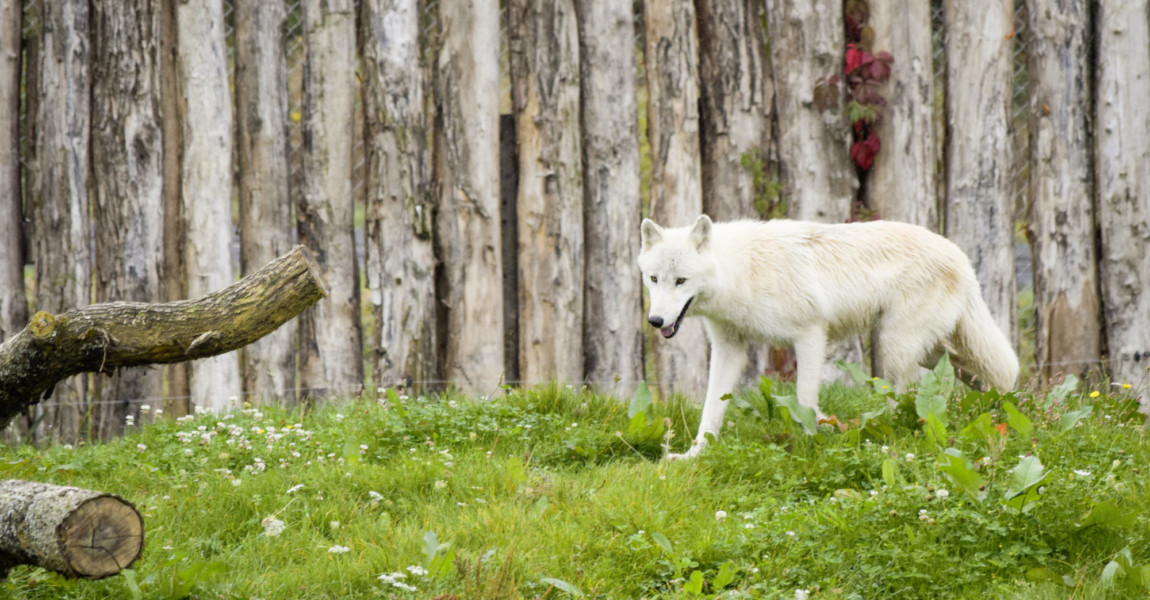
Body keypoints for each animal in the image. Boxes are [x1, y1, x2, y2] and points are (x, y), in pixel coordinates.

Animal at [644, 214, 1021, 457]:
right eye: (653, 279)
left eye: (681, 280)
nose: (655, 320)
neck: (743, 272)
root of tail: (961, 257)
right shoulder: (729, 347)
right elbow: (711, 409)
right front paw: (694, 455)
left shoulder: (810, 334)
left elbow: (805, 400)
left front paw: (811, 439)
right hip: (928, 350)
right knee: (968, 373)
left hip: (895, 349)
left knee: (905, 394)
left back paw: (883, 429)